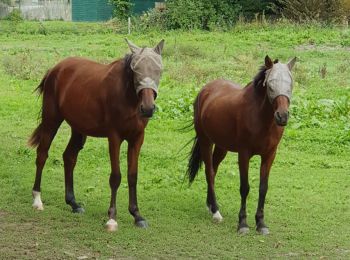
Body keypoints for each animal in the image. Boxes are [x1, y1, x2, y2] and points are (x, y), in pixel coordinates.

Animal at [28, 39, 164, 232]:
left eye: (158, 71)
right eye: (136, 71)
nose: (147, 108)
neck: (127, 98)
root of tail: (55, 69)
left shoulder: (137, 138)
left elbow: (132, 176)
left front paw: (137, 215)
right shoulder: (114, 137)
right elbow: (116, 177)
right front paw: (112, 218)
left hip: (78, 128)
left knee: (69, 157)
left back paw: (73, 203)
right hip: (51, 120)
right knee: (42, 154)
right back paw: (37, 200)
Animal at [186, 56, 296, 236]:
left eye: (290, 84)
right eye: (270, 85)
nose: (282, 116)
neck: (261, 118)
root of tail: (205, 90)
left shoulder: (269, 155)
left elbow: (263, 188)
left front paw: (261, 223)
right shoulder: (244, 154)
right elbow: (245, 188)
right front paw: (243, 223)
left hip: (221, 146)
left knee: (214, 170)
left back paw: (210, 205)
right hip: (205, 141)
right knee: (209, 172)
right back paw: (216, 212)